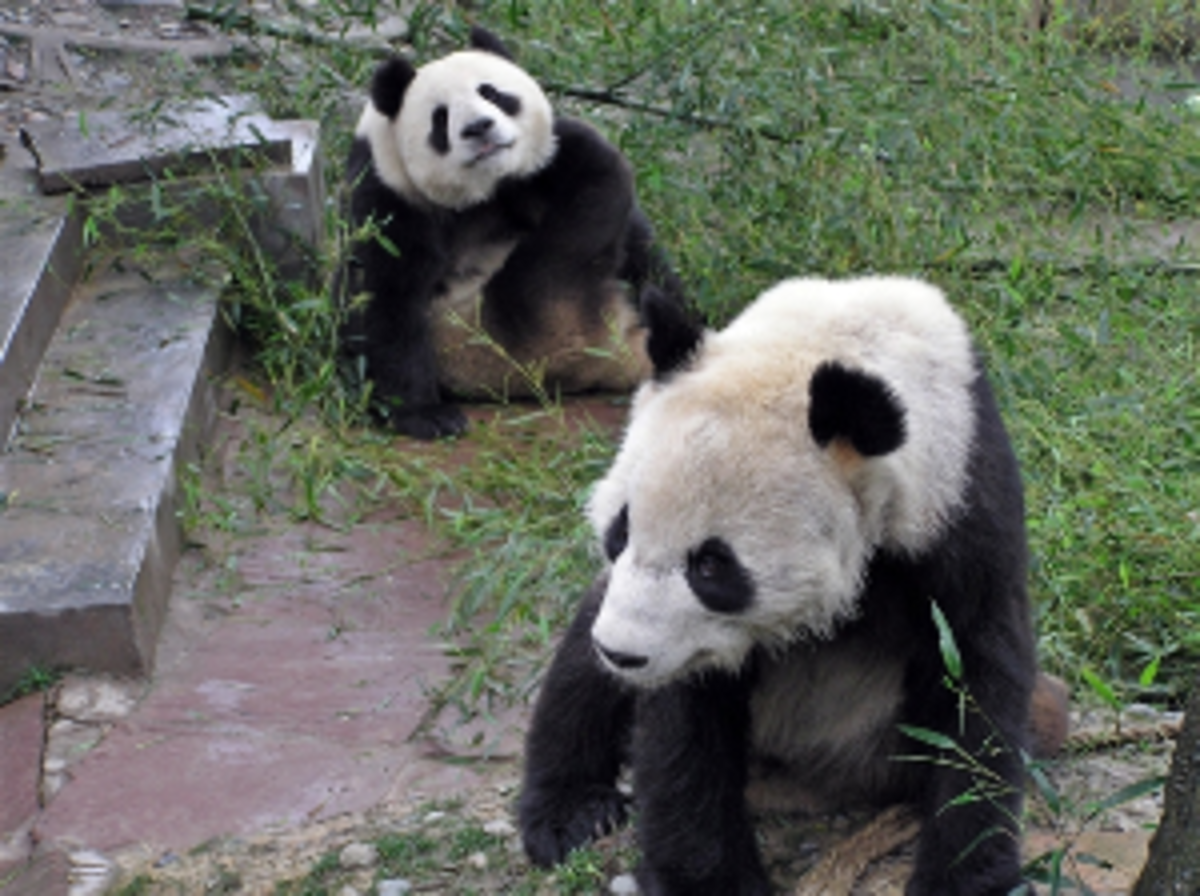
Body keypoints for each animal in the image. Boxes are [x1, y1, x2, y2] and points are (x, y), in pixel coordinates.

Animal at [339, 27, 686, 440]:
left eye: (491, 93)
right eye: (441, 117)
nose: (479, 127)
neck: (487, 191)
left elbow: (642, 251)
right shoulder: (389, 196)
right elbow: (384, 299)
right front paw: (426, 415)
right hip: (518, 325)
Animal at [518, 276, 1054, 895]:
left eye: (711, 566)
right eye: (620, 529)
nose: (624, 653)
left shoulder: (958, 505)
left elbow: (973, 685)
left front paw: (962, 878)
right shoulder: (681, 636)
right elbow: (684, 728)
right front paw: (710, 881)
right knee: (579, 674)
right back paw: (572, 812)